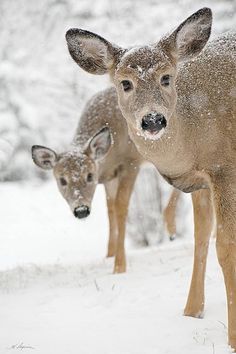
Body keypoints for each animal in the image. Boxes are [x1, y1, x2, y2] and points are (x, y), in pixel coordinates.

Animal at [30, 86, 179, 274]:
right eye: (62, 180)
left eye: (90, 175)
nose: (81, 210)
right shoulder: (110, 177)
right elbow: (111, 209)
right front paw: (109, 255)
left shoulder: (131, 162)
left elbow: (121, 207)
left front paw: (120, 266)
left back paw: (172, 228)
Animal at [65, 6, 236, 350]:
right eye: (125, 83)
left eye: (166, 77)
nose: (153, 119)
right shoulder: (201, 179)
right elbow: (200, 238)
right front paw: (191, 312)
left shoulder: (224, 166)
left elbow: (225, 247)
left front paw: (232, 339)